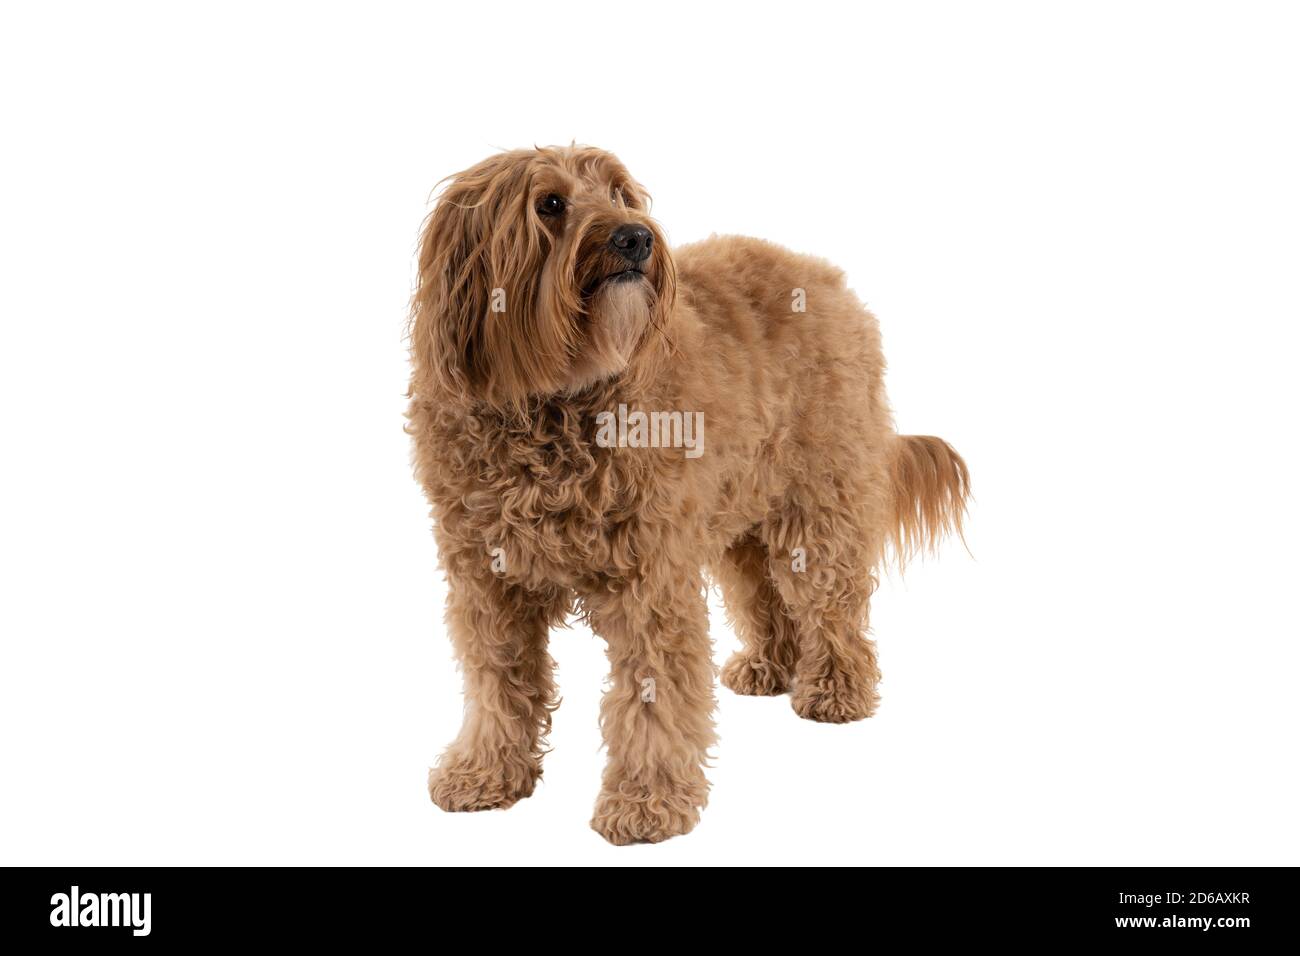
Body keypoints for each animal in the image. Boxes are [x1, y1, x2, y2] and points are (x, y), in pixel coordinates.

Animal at [405, 143, 967, 842]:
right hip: (740, 512)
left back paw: (836, 690)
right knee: (761, 592)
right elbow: (497, 682)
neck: (554, 401)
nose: (636, 237)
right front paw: (485, 772)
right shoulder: (487, 581)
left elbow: (654, 693)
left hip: (819, 507)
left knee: (832, 603)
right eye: (551, 204)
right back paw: (768, 666)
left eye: (621, 194)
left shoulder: (651, 578)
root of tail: (826, 277)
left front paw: (647, 802)